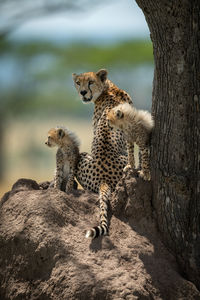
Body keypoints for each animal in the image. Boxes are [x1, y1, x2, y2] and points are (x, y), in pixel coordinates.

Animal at [72, 68, 133, 239]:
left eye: (90, 82)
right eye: (78, 83)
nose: (83, 92)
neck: (109, 87)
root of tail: (103, 179)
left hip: (83, 156)